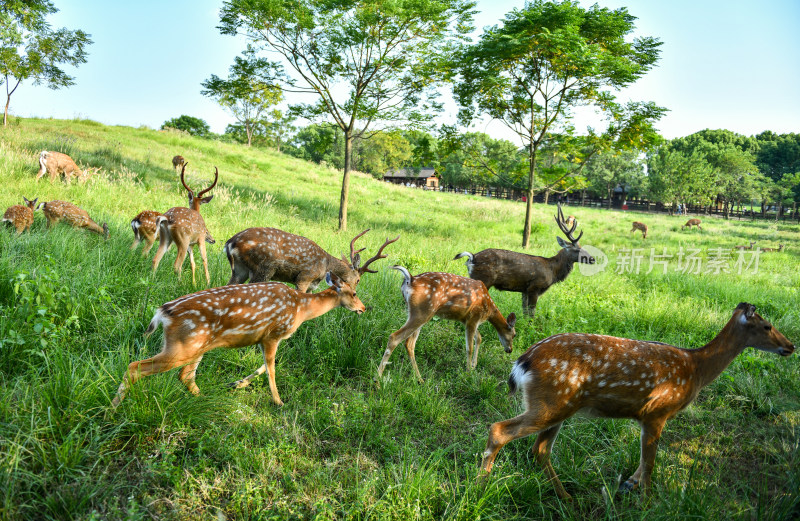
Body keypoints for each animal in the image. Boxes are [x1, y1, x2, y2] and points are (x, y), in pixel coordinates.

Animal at [110, 270, 366, 408]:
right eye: (354, 293)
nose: (363, 308)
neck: (301, 308)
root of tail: (162, 313)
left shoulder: (265, 339)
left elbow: (264, 366)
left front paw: (238, 383)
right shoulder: (273, 334)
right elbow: (272, 368)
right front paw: (278, 401)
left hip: (195, 346)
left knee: (185, 376)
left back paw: (207, 399)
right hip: (183, 346)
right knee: (135, 367)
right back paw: (112, 410)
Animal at [225, 228, 400, 290]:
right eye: (358, 280)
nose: (354, 292)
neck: (325, 265)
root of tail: (230, 243)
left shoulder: (312, 285)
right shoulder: (304, 277)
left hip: (239, 270)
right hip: (263, 268)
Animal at [376, 264, 520, 382]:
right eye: (514, 334)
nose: (510, 350)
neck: (489, 308)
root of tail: (410, 279)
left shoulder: (466, 319)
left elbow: (479, 337)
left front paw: (474, 366)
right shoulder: (474, 317)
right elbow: (469, 347)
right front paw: (468, 373)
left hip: (415, 312)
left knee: (409, 343)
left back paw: (419, 379)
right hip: (422, 311)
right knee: (395, 337)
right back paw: (377, 380)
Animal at [456, 205, 592, 314]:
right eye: (577, 249)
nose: (592, 259)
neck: (552, 272)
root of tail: (472, 257)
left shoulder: (524, 290)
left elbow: (525, 312)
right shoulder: (535, 287)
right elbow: (531, 313)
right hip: (484, 279)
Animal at [482, 302, 792, 498]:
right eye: (767, 326)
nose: (790, 346)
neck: (696, 369)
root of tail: (523, 361)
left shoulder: (648, 417)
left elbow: (643, 462)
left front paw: (628, 485)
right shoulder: (657, 411)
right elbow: (651, 463)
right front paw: (647, 502)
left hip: (559, 406)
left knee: (540, 450)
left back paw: (566, 497)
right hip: (551, 402)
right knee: (499, 430)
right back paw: (481, 485)